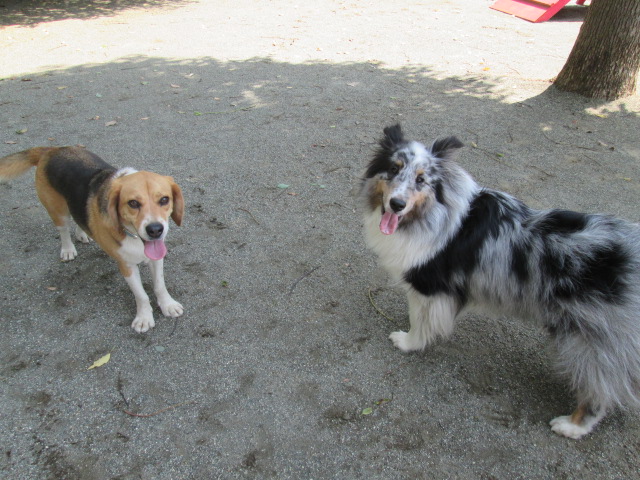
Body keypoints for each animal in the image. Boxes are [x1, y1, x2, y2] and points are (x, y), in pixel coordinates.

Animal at [0, 146, 185, 333]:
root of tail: (52, 150)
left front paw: (167, 305)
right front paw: (144, 317)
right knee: (63, 229)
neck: (133, 237)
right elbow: (141, 295)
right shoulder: (127, 266)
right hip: (57, 211)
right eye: (133, 203)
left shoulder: (157, 258)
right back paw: (68, 249)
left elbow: (160, 285)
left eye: (164, 199)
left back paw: (82, 232)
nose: (155, 230)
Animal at [361, 124, 640, 439]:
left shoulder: (428, 288)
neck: (432, 214)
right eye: (393, 169)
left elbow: (419, 321)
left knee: (600, 390)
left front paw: (408, 342)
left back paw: (572, 426)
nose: (396, 204)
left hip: (589, 340)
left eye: (421, 180)